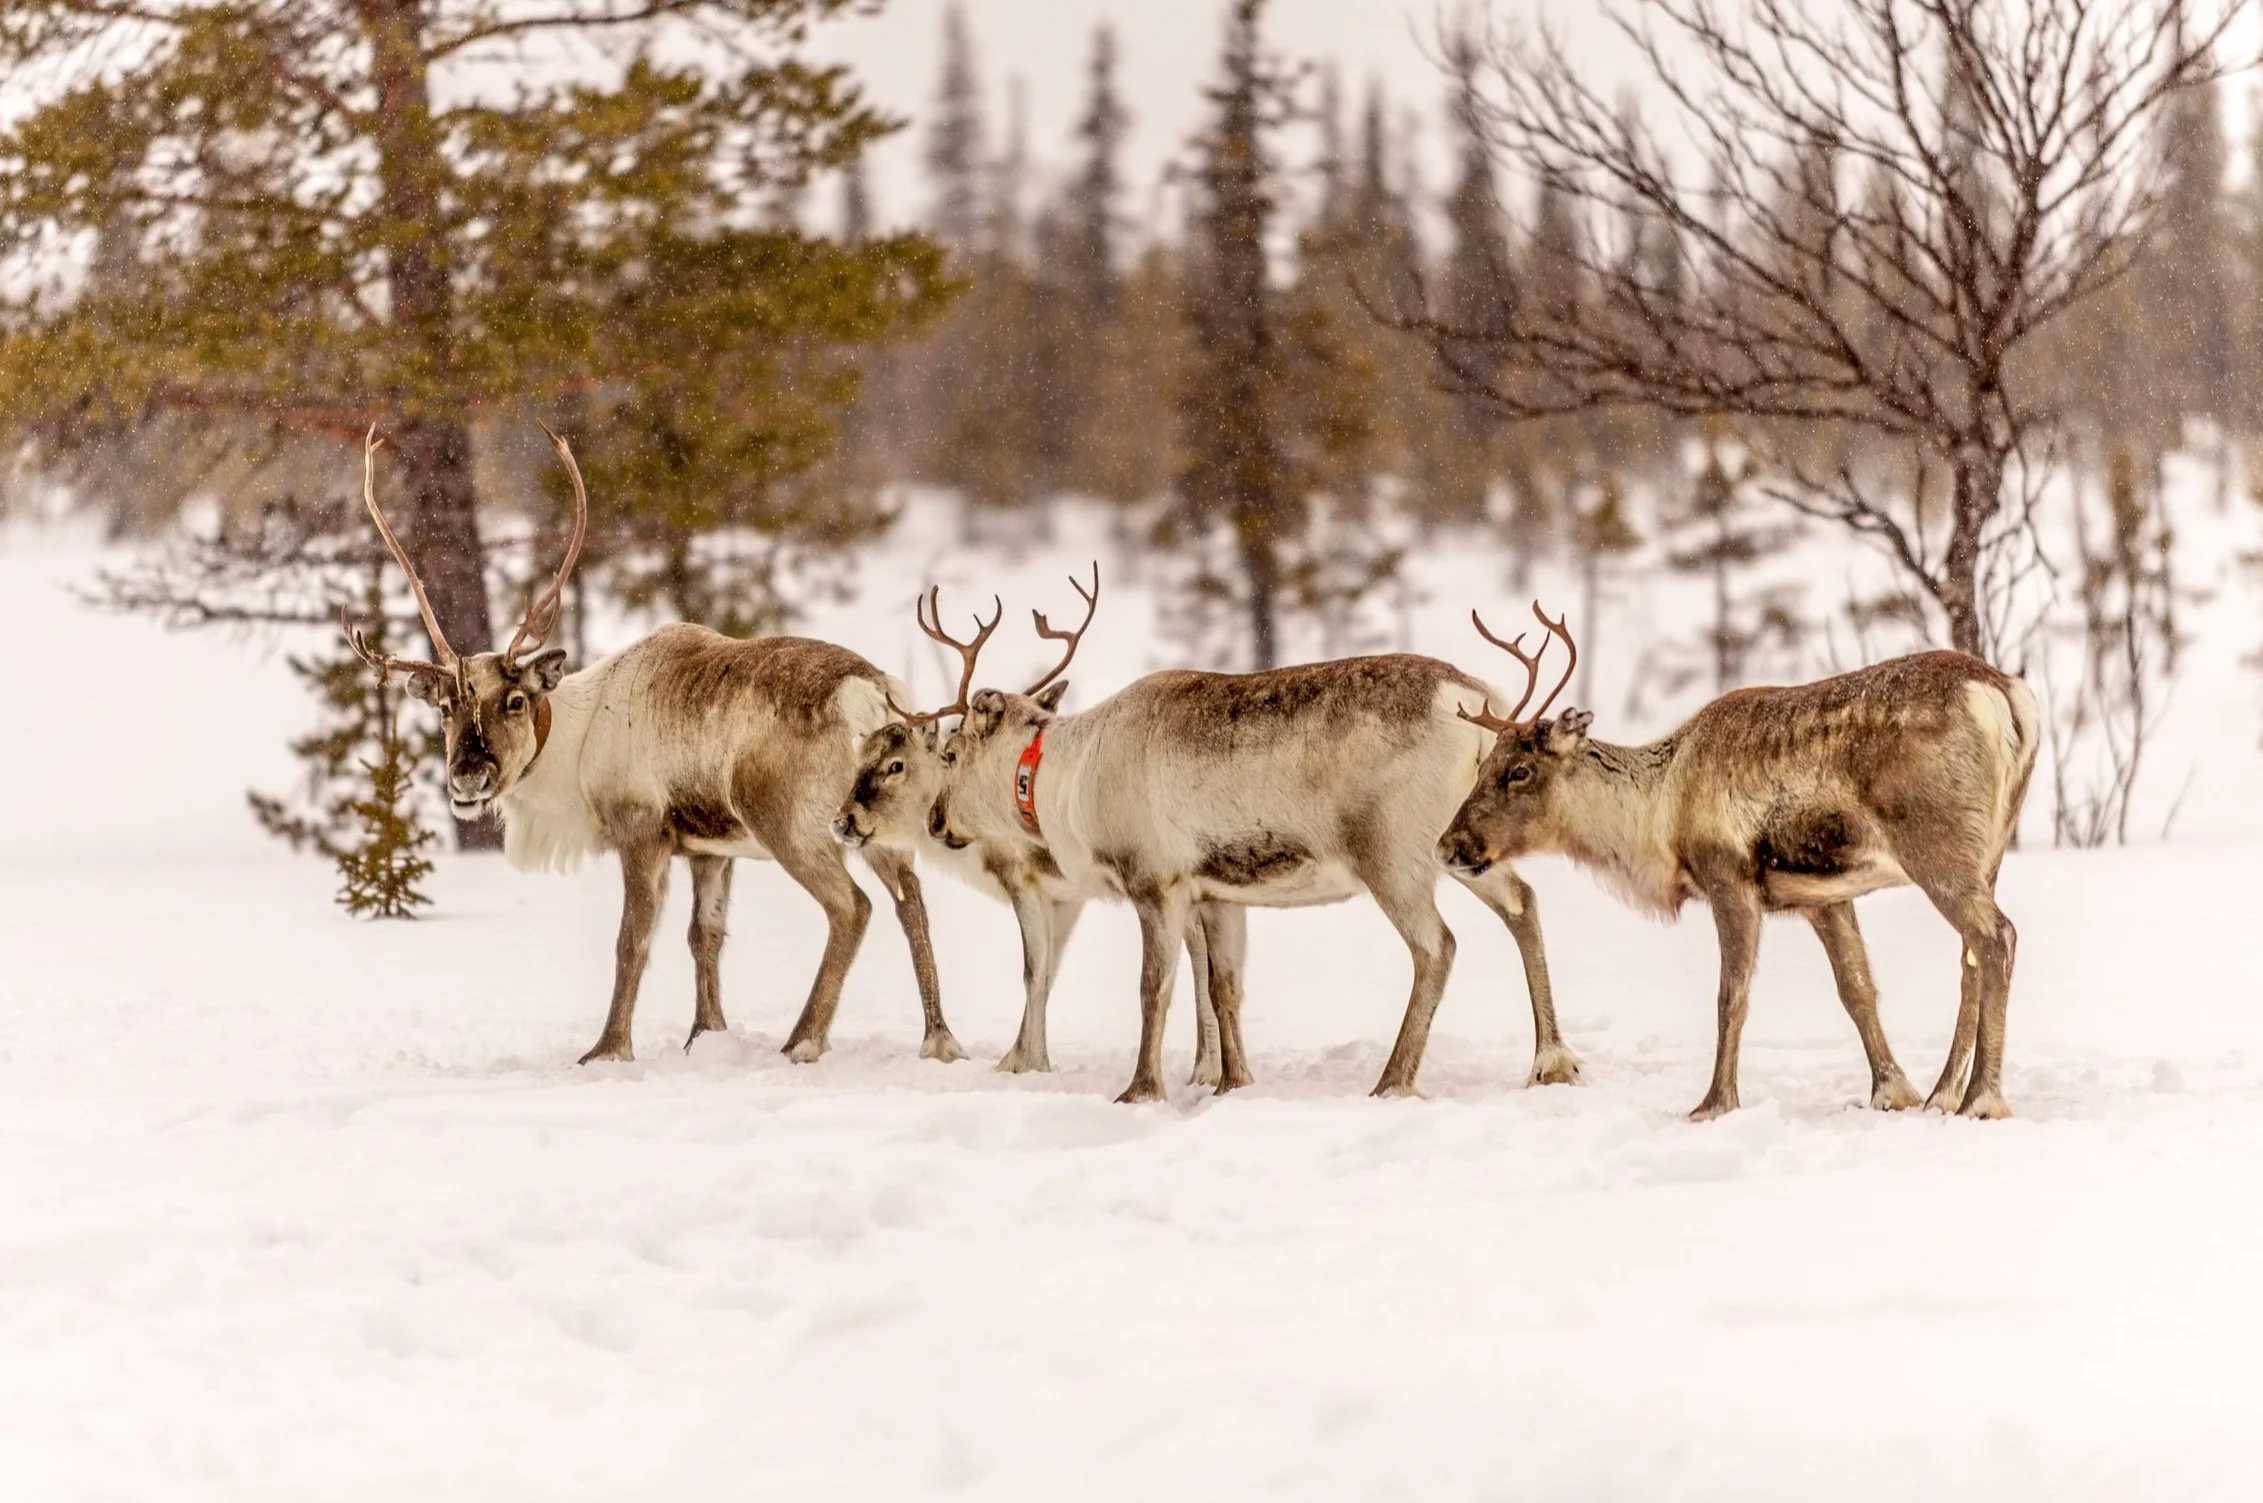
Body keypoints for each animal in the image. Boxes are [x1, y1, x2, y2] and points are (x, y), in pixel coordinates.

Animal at [342, 425, 965, 1068]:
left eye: (514, 701)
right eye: (445, 708)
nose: (467, 777)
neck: (576, 749)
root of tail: (871, 694)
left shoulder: (641, 829)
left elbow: (632, 941)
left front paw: (607, 1049)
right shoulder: (710, 848)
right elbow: (703, 935)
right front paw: (704, 1036)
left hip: (793, 822)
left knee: (852, 907)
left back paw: (803, 1040)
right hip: (880, 823)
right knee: (911, 900)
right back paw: (938, 1037)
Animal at [834, 571, 1230, 1086]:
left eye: (894, 765)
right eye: (860, 756)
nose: (843, 819)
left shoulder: (1029, 881)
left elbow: (1033, 970)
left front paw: (1023, 1061)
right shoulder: (1063, 895)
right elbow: (1046, 971)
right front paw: (1024, 1058)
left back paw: (1207, 1068)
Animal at [881, 570, 1585, 1104]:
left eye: (949, 753)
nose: (937, 822)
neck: (1064, 781)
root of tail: (1477, 700)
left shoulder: (1154, 882)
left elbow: (1153, 989)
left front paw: (1140, 1091)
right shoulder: (1216, 892)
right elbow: (1224, 987)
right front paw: (1233, 1083)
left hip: (1393, 853)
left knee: (1437, 946)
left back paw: (1392, 1080)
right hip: (1468, 844)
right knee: (1523, 904)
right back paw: (1552, 1059)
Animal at [1434, 608, 2040, 1121]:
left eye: (1517, 771)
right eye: (1482, 764)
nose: (1448, 845)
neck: (1661, 812)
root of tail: (2007, 695)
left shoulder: (1729, 877)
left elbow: (1732, 995)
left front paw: (1713, 1104)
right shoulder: (1823, 897)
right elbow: (1857, 991)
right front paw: (1892, 1092)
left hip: (1936, 845)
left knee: (1997, 937)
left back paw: (1981, 1099)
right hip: (1988, 849)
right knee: (1970, 957)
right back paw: (1943, 1094)